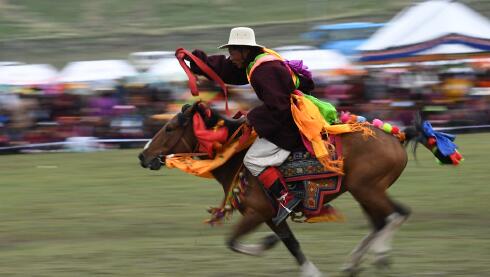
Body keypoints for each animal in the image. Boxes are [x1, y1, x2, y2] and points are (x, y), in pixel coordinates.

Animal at [140, 101, 438, 276]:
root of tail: (397, 137)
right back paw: (354, 263)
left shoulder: (258, 213)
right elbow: (291, 244)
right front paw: (302, 265)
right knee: (388, 218)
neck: (236, 158)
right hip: (366, 191)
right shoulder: (273, 216)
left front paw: (266, 245)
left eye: (169, 128)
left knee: (392, 216)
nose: (143, 156)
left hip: (367, 189)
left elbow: (233, 241)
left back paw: (379, 256)